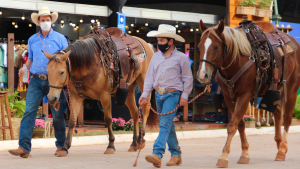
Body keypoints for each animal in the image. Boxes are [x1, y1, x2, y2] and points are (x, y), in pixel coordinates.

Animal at [43, 27, 158, 156]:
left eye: (62, 72)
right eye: (47, 71)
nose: (52, 98)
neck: (89, 62)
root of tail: (147, 45)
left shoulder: (105, 96)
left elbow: (108, 119)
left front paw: (111, 145)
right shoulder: (75, 96)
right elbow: (72, 120)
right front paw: (64, 147)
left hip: (144, 83)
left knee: (145, 110)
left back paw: (141, 141)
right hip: (128, 89)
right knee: (134, 113)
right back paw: (134, 143)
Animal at [197, 19, 300, 167]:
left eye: (216, 47)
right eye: (199, 47)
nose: (202, 75)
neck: (237, 61)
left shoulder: (244, 95)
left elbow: (232, 125)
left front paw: (223, 157)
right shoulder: (229, 97)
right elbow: (239, 124)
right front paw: (245, 154)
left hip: (292, 88)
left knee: (287, 118)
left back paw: (282, 150)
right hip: (272, 91)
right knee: (278, 112)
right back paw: (279, 145)